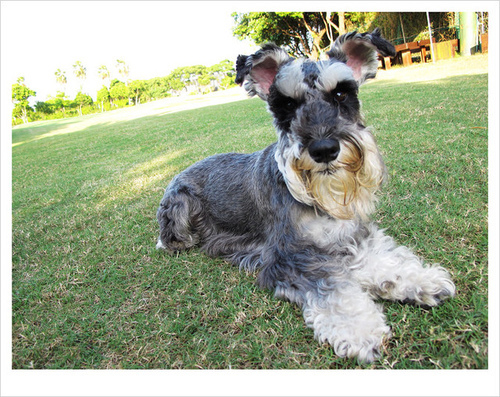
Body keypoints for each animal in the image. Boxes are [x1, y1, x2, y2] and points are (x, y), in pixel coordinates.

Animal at [156, 28, 458, 362]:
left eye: (341, 94)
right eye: (287, 104)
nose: (324, 149)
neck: (320, 201)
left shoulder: (351, 235)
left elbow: (382, 260)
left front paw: (419, 281)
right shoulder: (290, 257)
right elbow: (334, 288)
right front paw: (359, 329)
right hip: (180, 212)